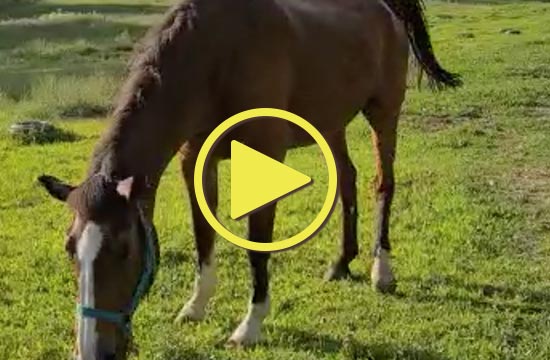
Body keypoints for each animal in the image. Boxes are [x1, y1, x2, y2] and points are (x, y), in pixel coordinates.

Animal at [37, 0, 462, 358]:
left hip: (384, 113)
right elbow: (203, 234)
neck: (215, 57)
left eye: (124, 250)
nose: (93, 352)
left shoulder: (265, 159)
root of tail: (386, 8)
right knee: (348, 181)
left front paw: (250, 325)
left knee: (382, 184)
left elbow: (257, 246)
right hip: (331, 123)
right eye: (70, 249)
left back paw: (381, 271)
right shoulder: (195, 161)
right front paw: (196, 306)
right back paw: (342, 263)